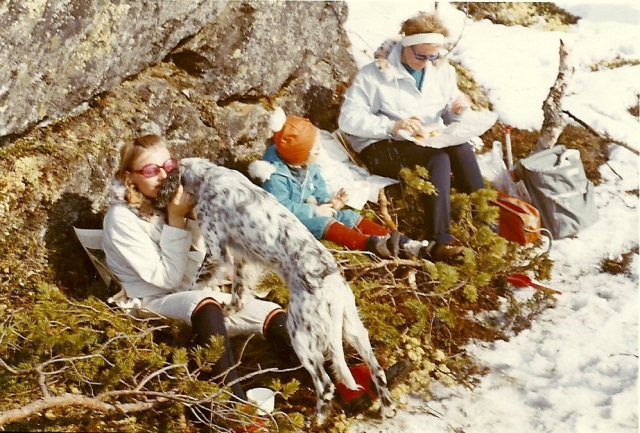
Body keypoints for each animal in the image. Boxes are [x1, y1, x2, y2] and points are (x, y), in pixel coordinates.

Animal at [155, 157, 394, 424]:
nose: (157, 201)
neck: (207, 176)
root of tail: (332, 285)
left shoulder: (216, 249)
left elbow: (198, 282)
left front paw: (184, 294)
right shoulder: (241, 257)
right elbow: (238, 292)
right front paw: (229, 309)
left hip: (301, 335)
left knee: (325, 385)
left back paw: (315, 419)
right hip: (353, 330)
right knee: (378, 371)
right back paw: (385, 408)